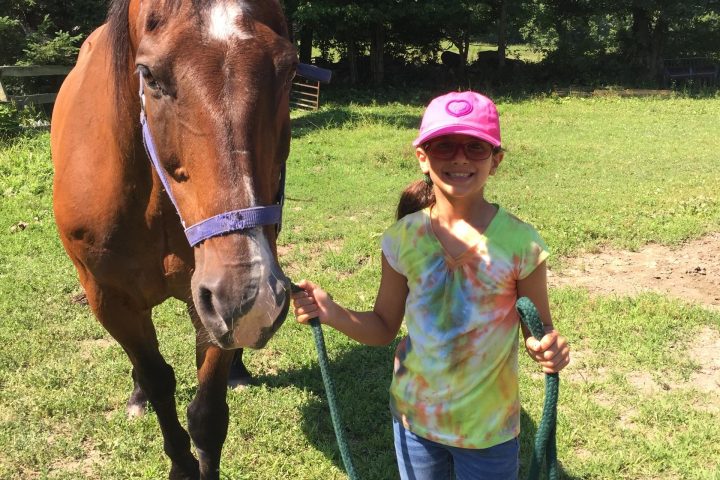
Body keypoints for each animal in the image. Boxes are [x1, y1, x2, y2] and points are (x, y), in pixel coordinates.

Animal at [50, 0, 297, 478]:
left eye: (290, 68)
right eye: (148, 75)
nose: (249, 296)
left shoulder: (210, 304)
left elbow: (208, 416)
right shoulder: (109, 299)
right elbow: (158, 379)